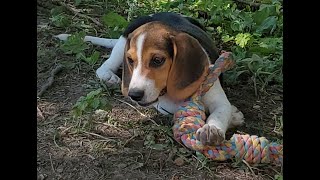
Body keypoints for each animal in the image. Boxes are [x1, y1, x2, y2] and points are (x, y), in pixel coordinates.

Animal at [56, 12, 244, 145]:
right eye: (131, 61)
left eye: (157, 60)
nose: (134, 95)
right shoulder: (161, 103)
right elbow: (175, 106)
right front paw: (232, 116)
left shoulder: (217, 95)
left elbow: (221, 111)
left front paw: (212, 128)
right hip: (123, 42)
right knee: (104, 65)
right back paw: (108, 76)